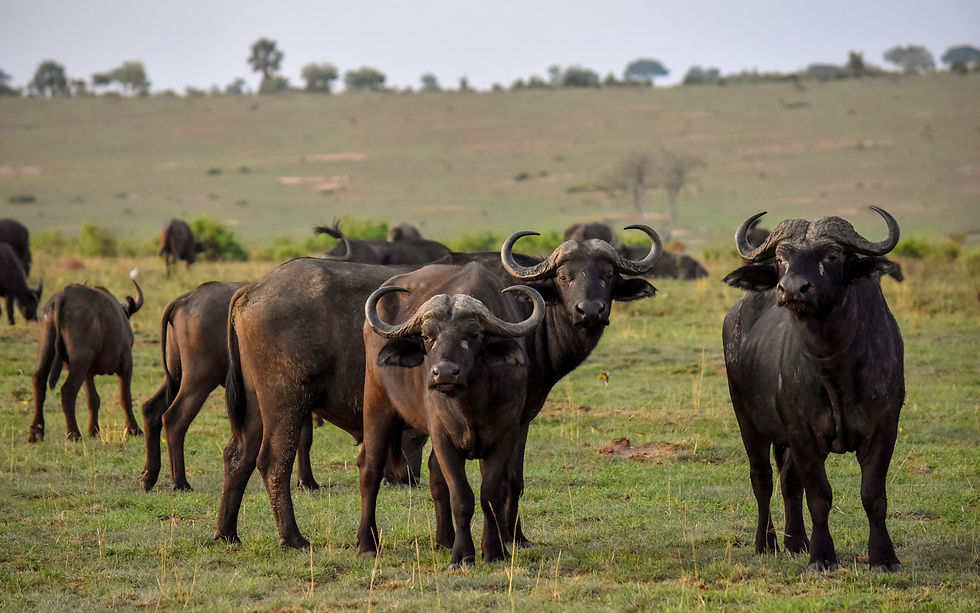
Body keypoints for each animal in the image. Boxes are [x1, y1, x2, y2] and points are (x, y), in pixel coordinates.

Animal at [29, 280, 144, 442]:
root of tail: (63, 296)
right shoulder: (127, 365)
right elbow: (125, 398)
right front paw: (134, 429)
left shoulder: (88, 374)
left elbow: (93, 400)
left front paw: (94, 431)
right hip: (80, 361)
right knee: (68, 390)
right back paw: (74, 434)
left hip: (47, 349)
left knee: (39, 381)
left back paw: (36, 432)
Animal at [358, 266, 544, 568]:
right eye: (426, 336)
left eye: (474, 334)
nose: (444, 373)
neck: (471, 404)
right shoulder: (442, 436)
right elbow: (461, 497)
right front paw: (463, 555)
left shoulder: (508, 434)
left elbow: (490, 495)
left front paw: (494, 551)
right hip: (376, 406)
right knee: (370, 470)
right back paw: (367, 543)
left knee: (434, 476)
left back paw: (444, 540)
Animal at [722, 206, 905, 573]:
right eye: (781, 258)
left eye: (832, 255)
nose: (792, 289)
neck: (835, 367)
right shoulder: (802, 431)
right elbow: (819, 496)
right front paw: (822, 557)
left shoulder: (885, 427)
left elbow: (873, 496)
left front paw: (884, 558)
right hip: (747, 421)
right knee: (763, 480)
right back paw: (766, 543)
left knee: (789, 482)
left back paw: (796, 543)